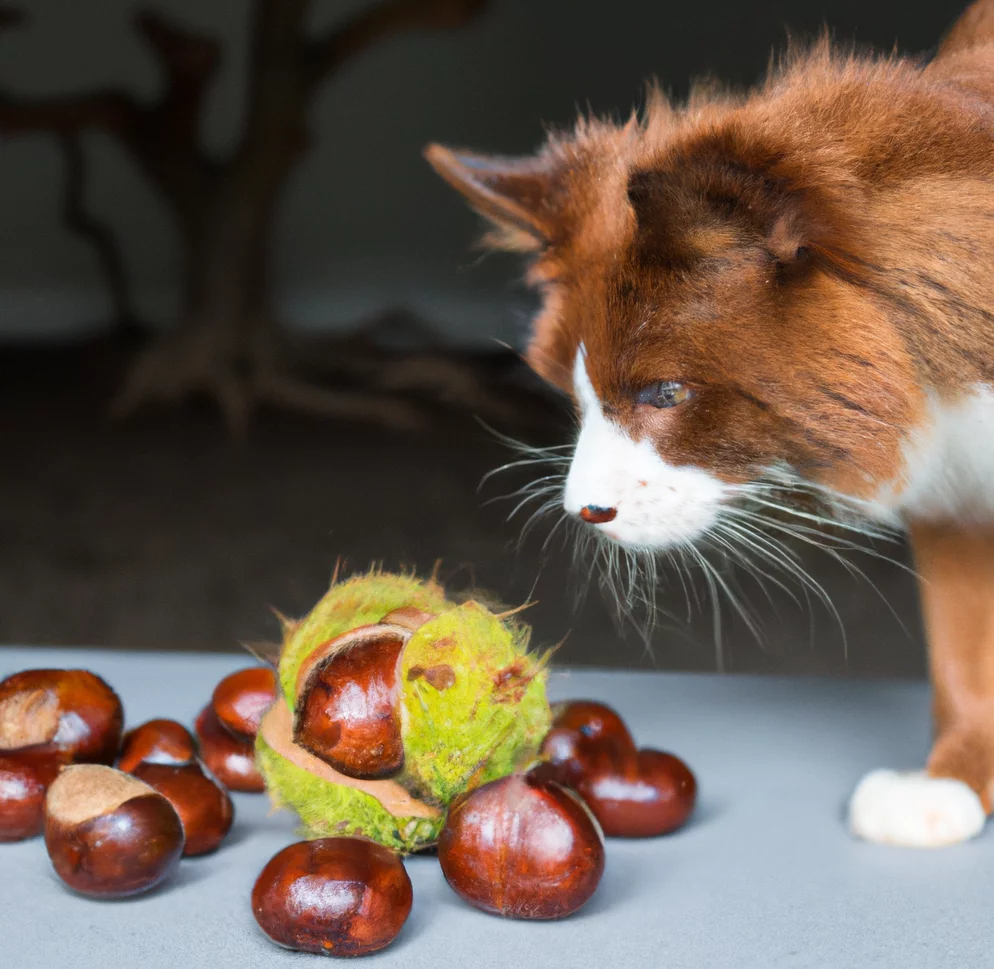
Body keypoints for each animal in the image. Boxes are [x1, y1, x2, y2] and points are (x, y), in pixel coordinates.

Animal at [426, 0, 994, 848]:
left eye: (664, 393)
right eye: (576, 397)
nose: (582, 511)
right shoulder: (955, 480)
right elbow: (965, 651)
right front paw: (953, 776)